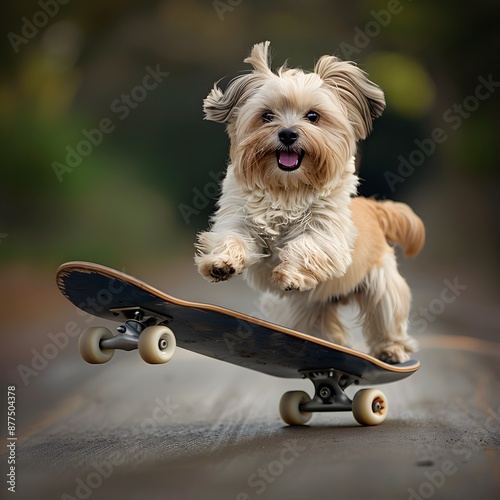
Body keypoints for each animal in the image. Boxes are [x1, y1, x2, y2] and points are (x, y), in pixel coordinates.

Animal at [193, 42, 424, 364]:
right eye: (267, 116)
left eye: (313, 116)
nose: (288, 133)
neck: (287, 190)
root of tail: (372, 206)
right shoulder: (239, 220)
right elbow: (232, 238)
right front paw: (221, 263)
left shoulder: (326, 235)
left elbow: (305, 247)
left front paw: (290, 274)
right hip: (308, 309)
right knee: (323, 327)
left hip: (383, 287)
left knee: (386, 318)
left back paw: (390, 351)